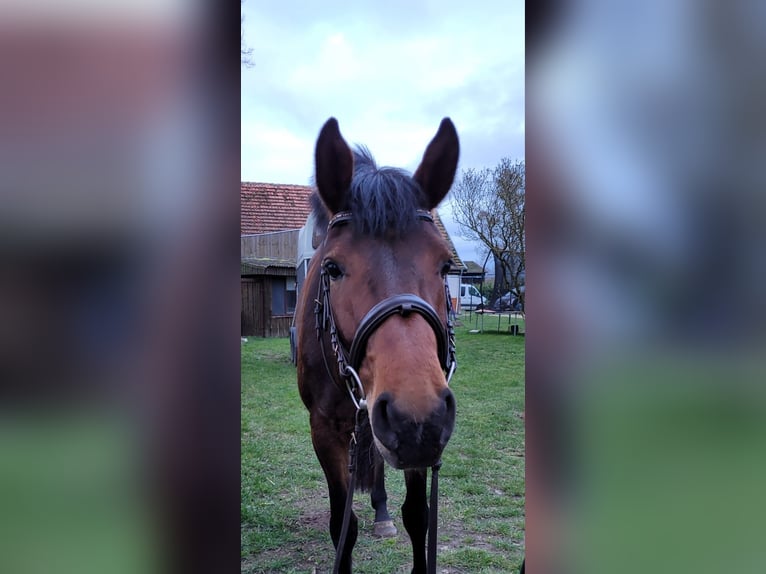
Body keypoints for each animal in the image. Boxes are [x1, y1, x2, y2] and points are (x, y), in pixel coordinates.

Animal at [296, 118, 460, 574]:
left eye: (445, 265)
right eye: (332, 268)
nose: (415, 419)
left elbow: (418, 516)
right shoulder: (324, 430)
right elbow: (342, 526)